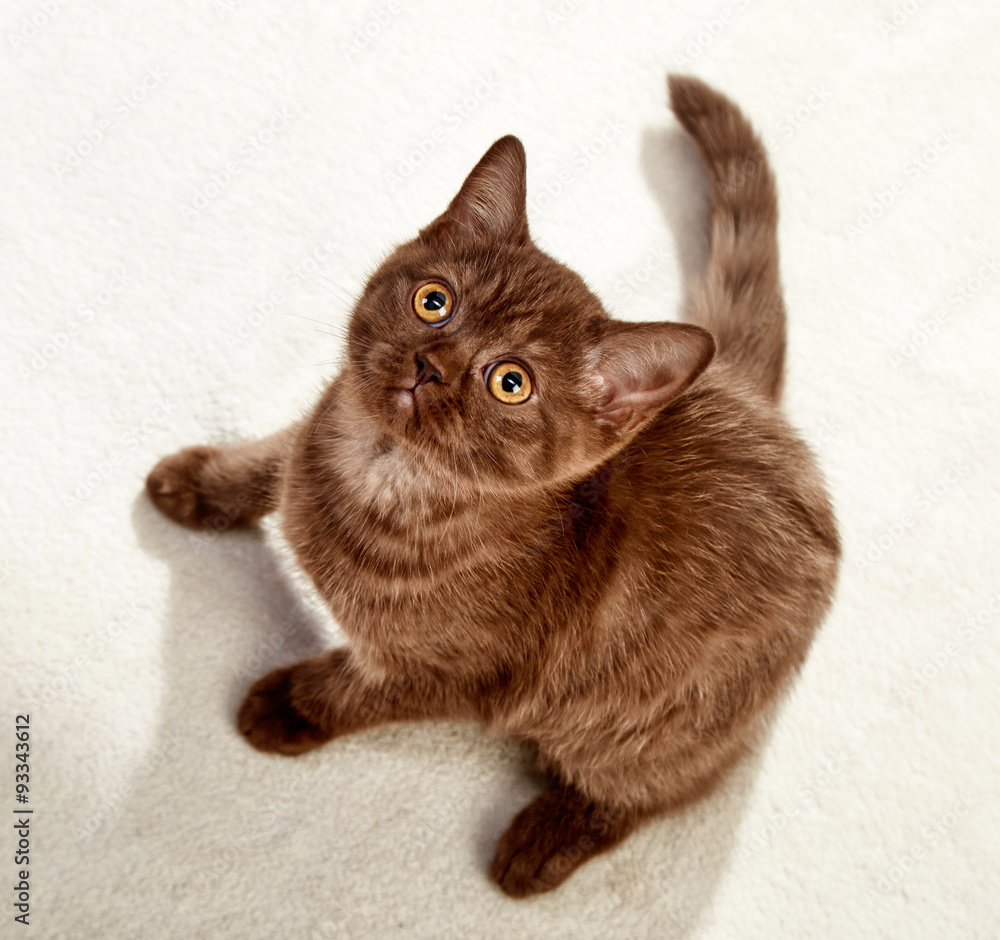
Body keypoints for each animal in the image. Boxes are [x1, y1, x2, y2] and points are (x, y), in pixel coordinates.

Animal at [146, 77, 836, 900]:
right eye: (434, 301)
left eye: (511, 382)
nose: (431, 365)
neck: (379, 474)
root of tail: (766, 413)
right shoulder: (320, 430)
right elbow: (272, 460)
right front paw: (200, 480)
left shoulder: (456, 674)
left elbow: (353, 691)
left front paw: (285, 705)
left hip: (658, 722)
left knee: (657, 790)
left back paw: (542, 843)